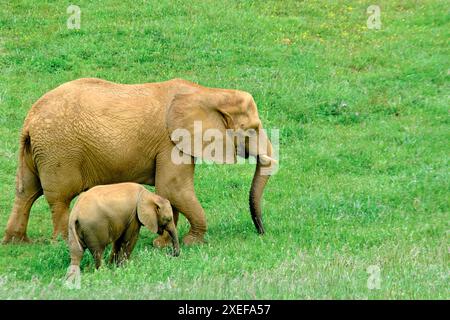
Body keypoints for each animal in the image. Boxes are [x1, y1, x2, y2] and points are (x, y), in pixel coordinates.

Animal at [3, 77, 276, 245]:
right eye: (252, 129)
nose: (262, 233)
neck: (208, 93)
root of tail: (29, 120)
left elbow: (171, 192)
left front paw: (162, 244)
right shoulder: (170, 142)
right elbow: (173, 188)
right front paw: (191, 243)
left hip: (38, 151)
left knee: (26, 192)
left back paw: (17, 243)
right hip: (59, 150)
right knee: (59, 198)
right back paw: (59, 242)